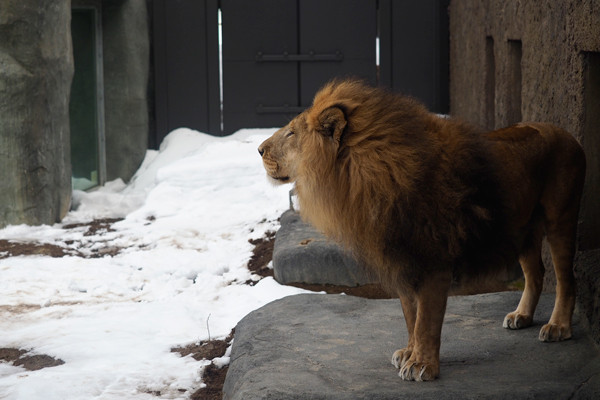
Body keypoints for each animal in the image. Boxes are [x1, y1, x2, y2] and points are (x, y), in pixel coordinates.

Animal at [258, 79, 584, 382]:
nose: (259, 149)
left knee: (566, 279)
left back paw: (558, 327)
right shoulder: (402, 260)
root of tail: (568, 135)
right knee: (536, 274)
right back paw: (522, 316)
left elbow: (426, 319)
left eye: (291, 133)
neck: (363, 178)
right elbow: (410, 316)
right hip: (522, 230)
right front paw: (408, 353)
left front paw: (422, 365)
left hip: (561, 221)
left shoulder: (432, 262)